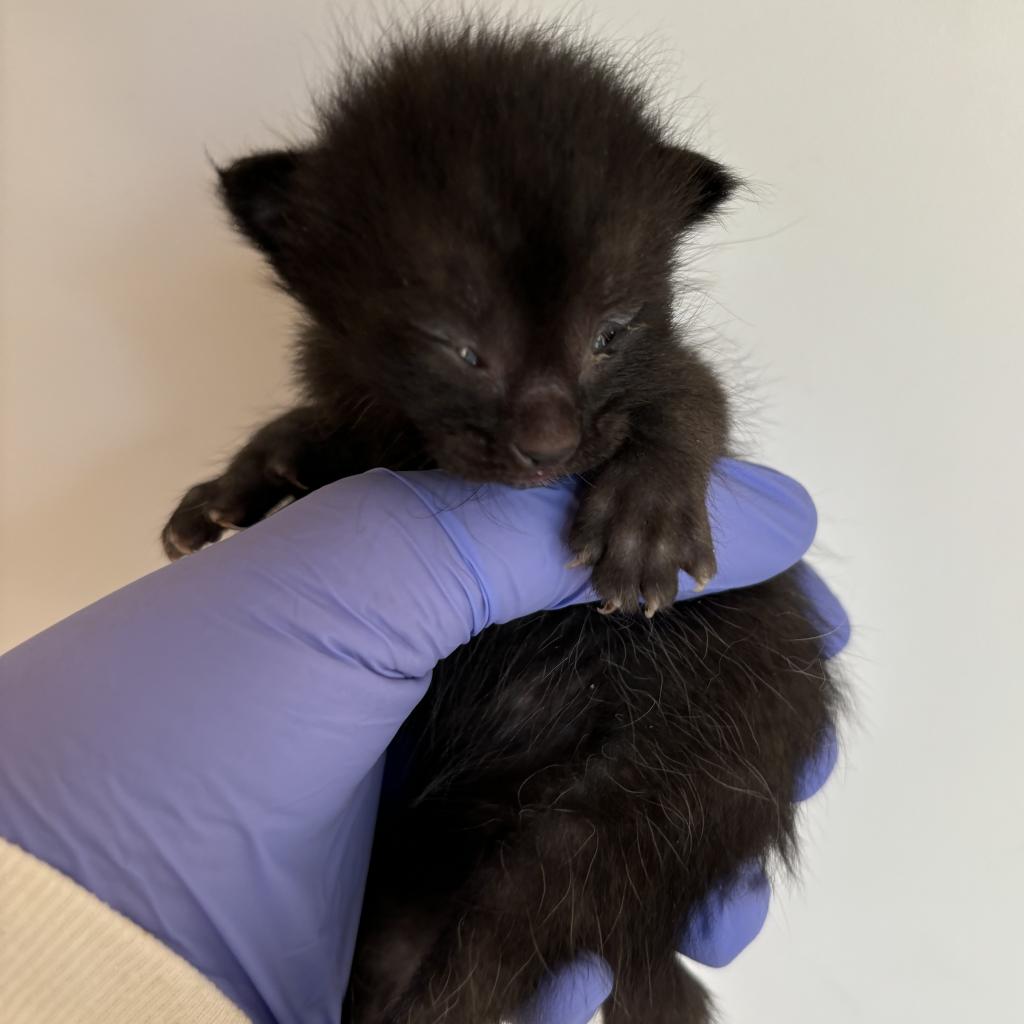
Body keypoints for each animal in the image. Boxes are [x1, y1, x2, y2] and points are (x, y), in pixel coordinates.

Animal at [165, 18, 839, 1024]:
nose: (549, 441)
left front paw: (645, 514)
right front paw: (232, 486)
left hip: (639, 802)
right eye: (459, 347)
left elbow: (690, 398)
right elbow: (312, 428)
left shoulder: (663, 370)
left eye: (610, 332)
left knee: (505, 937)